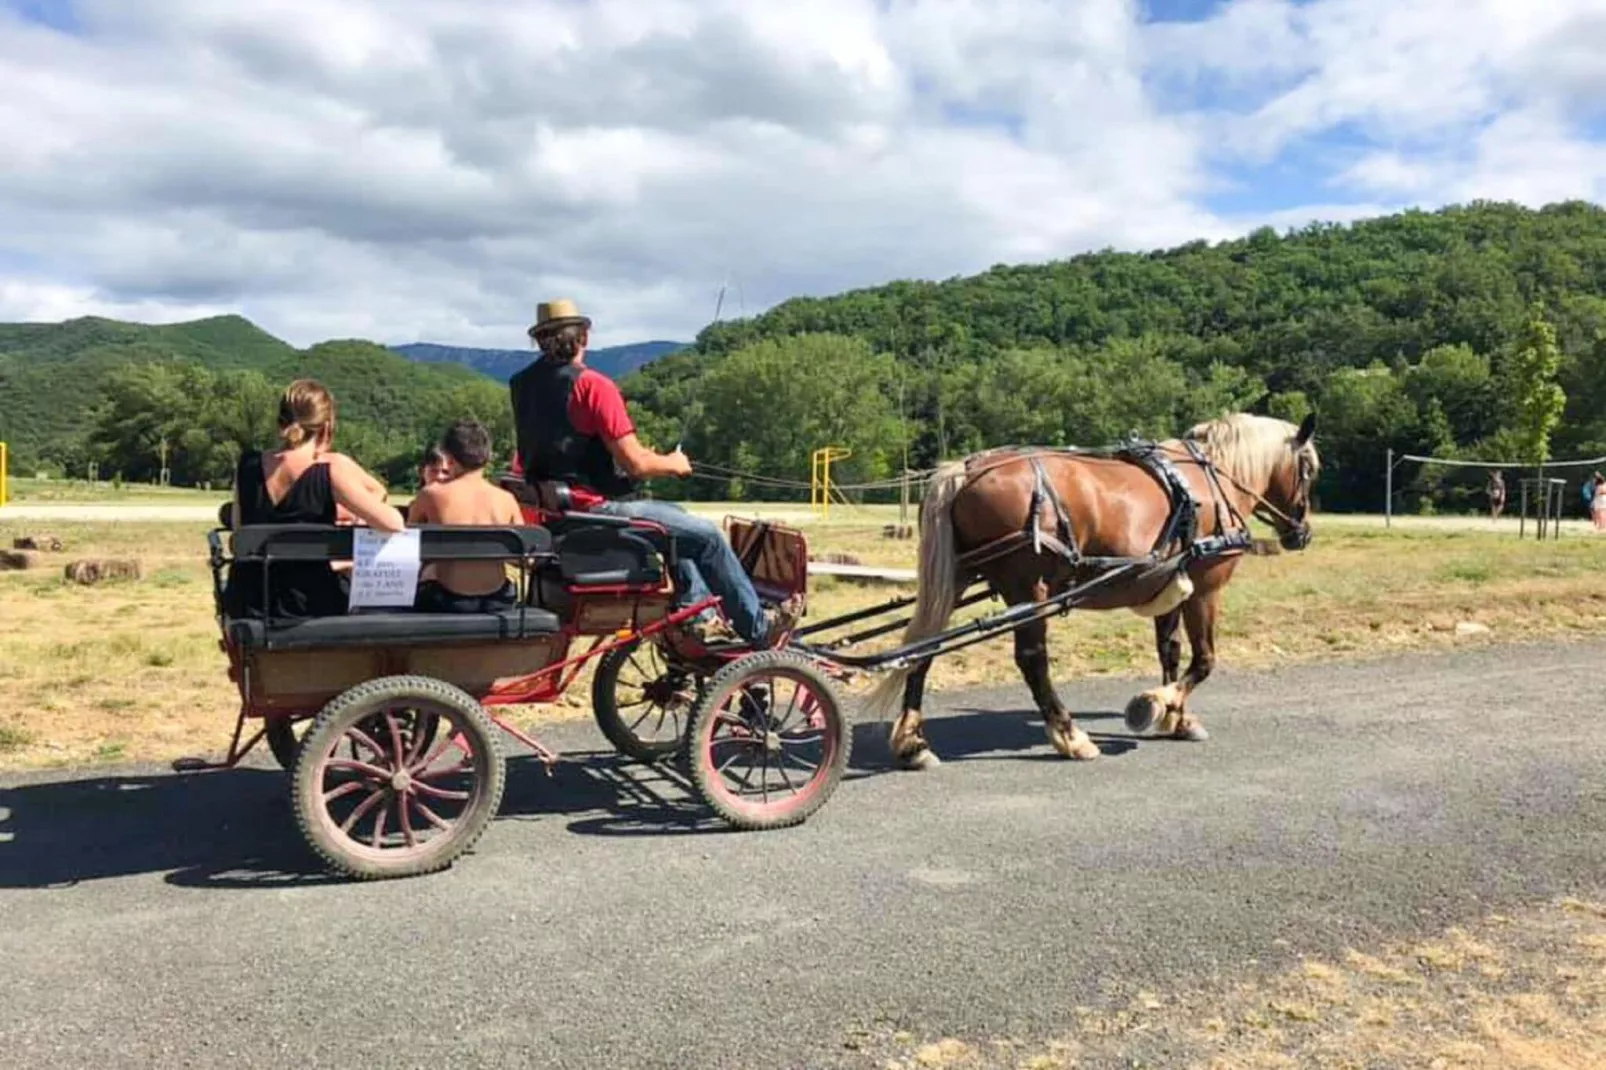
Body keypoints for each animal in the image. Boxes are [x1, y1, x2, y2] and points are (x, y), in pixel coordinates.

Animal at [867, 408, 1316, 767]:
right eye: (1309, 469)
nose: (1302, 533)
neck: (1212, 480)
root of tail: (965, 469)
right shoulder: (1206, 587)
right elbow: (1203, 660)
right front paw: (1153, 705)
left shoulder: (1171, 584)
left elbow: (1170, 651)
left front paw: (1177, 717)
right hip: (1029, 588)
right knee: (1032, 659)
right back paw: (1069, 735)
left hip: (955, 579)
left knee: (922, 647)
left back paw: (912, 742)